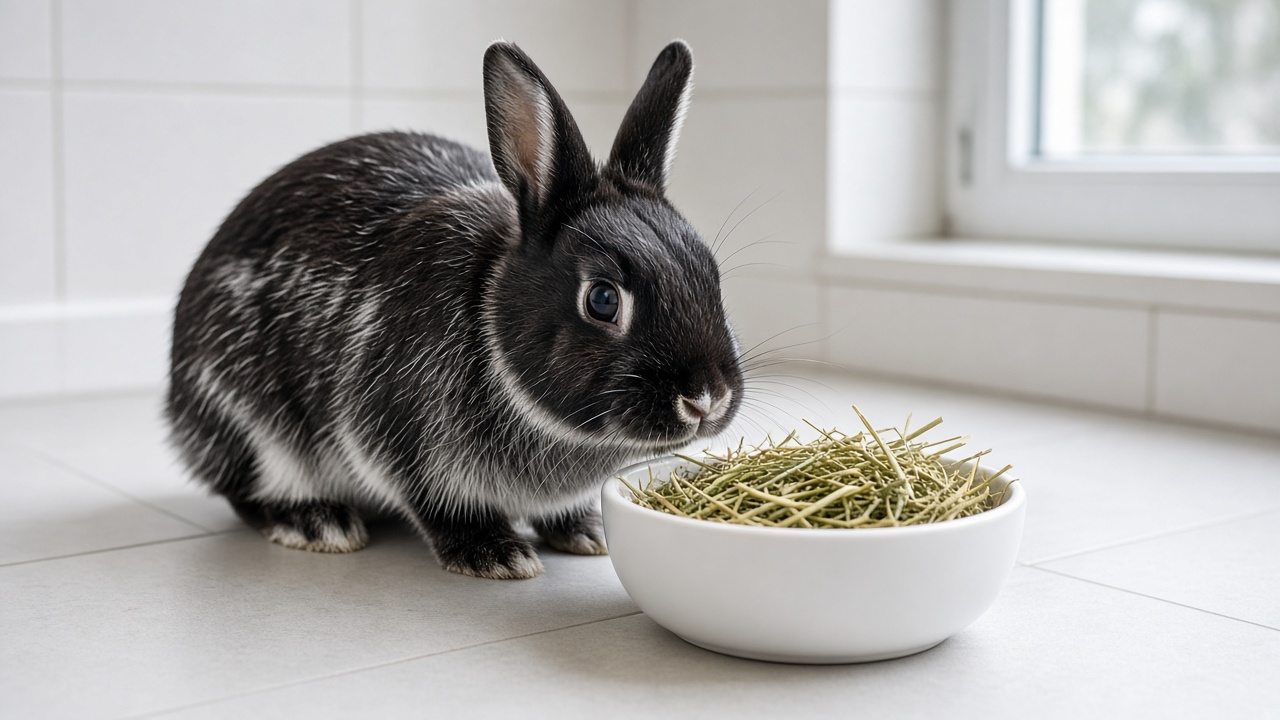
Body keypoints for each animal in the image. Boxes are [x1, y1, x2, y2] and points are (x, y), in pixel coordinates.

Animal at [166, 40, 743, 579]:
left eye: (710, 273)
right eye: (602, 299)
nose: (706, 400)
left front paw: (586, 531)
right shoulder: (396, 435)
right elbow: (440, 505)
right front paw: (496, 555)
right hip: (251, 426)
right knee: (248, 490)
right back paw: (316, 522)